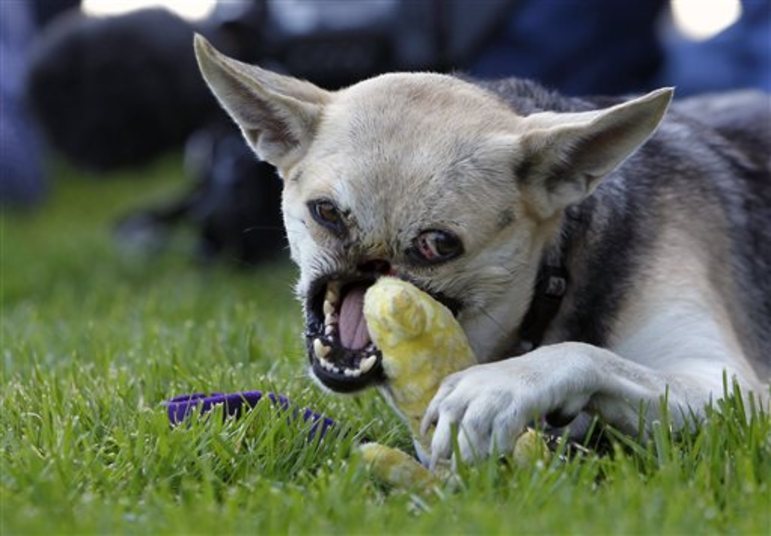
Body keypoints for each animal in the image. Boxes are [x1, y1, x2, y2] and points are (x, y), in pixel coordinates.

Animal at [195, 35, 771, 466]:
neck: (557, 278)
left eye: (437, 245)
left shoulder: (734, 390)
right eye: (327, 213)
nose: (373, 271)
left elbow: (583, 353)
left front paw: (500, 386)